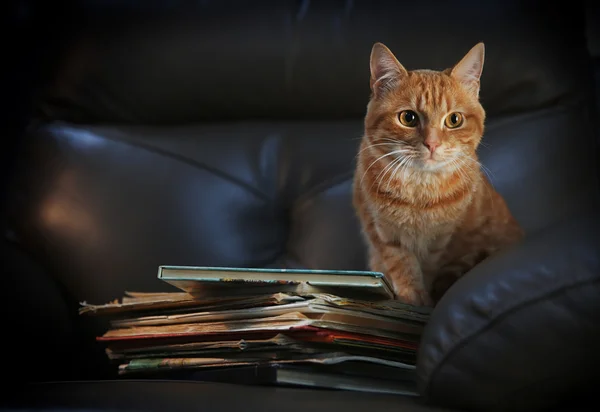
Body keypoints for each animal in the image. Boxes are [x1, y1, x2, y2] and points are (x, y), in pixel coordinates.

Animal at [354, 42, 524, 306]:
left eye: (454, 119)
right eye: (408, 118)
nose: (432, 144)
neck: (419, 192)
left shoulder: (441, 241)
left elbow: (429, 267)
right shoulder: (381, 232)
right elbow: (402, 265)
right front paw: (413, 298)